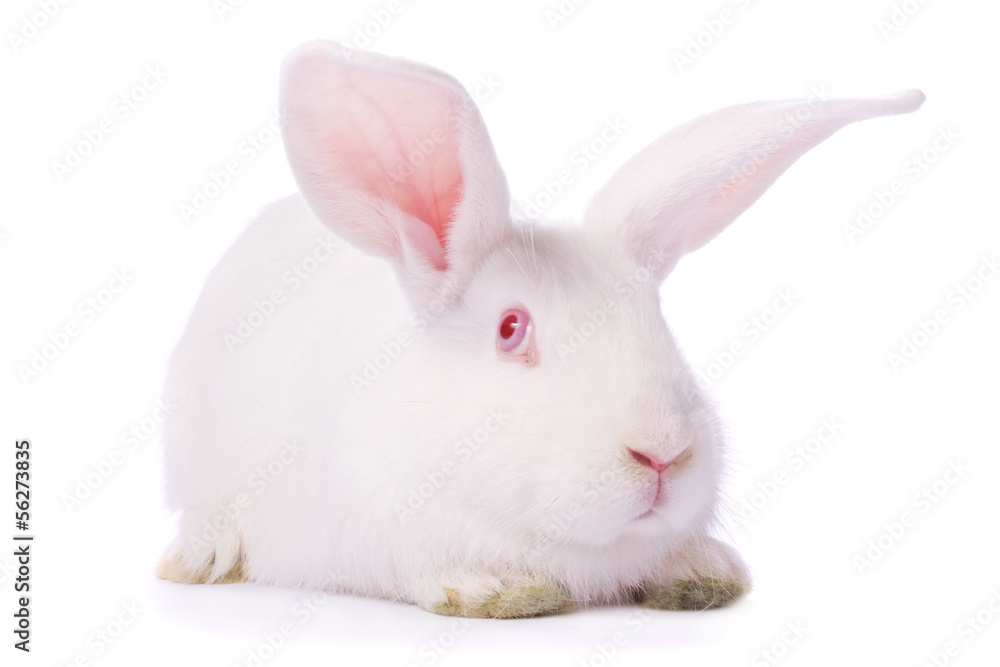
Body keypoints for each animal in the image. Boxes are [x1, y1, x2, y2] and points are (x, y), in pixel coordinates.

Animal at [154, 39, 920, 620]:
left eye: (659, 318)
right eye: (511, 328)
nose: (662, 454)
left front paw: (703, 572)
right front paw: (494, 590)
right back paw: (201, 557)